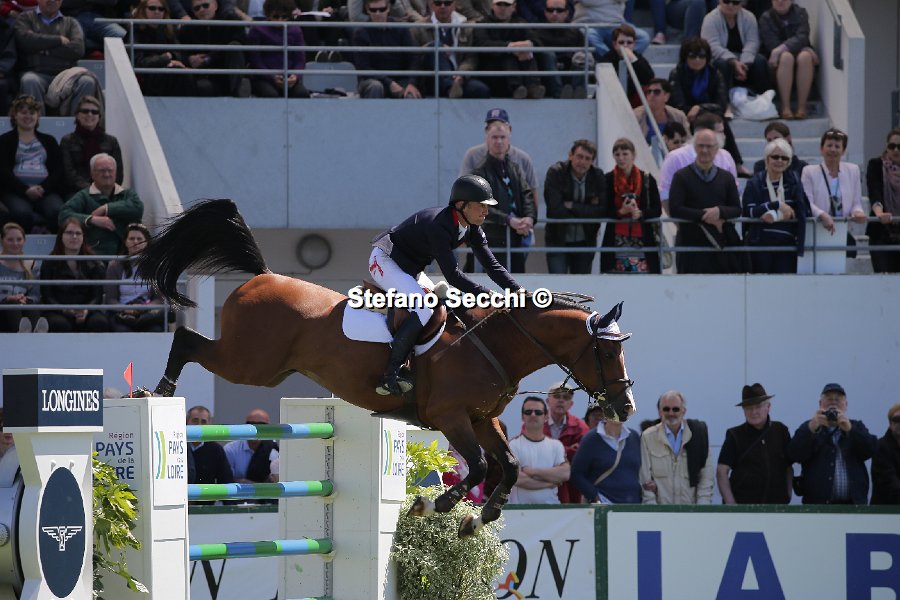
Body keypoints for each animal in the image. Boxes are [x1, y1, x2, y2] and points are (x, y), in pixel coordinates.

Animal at [138, 199, 636, 536]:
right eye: (607, 353)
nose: (626, 407)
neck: (494, 344)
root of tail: (262, 275)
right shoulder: (451, 417)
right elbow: (477, 467)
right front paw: (434, 506)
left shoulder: (481, 418)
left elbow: (509, 466)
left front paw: (479, 519)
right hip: (251, 364)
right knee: (187, 340)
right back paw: (156, 392)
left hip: (263, 367)